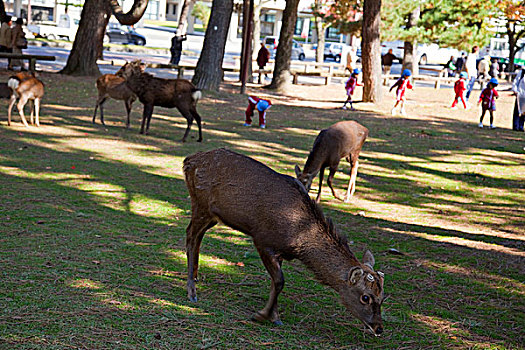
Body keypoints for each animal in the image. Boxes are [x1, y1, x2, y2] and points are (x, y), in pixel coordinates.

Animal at [184, 148, 384, 336]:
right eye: (366, 297)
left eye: (382, 298)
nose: (378, 328)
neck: (298, 241)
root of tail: (188, 161)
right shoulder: (263, 240)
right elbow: (280, 281)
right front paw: (261, 315)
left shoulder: (279, 252)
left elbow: (275, 283)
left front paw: (275, 317)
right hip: (200, 204)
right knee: (190, 236)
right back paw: (192, 291)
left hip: (212, 215)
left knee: (198, 236)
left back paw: (196, 276)